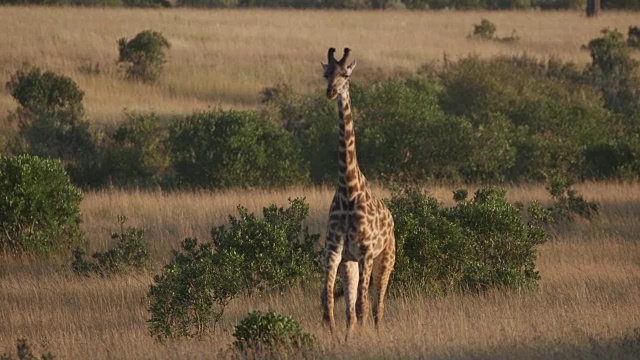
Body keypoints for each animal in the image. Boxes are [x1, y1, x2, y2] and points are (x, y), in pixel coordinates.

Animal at [320, 48, 396, 340]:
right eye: (326, 73)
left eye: (346, 74)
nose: (331, 92)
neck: (348, 188)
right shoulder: (335, 251)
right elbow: (328, 299)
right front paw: (333, 335)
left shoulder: (366, 252)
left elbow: (364, 304)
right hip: (350, 263)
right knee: (351, 309)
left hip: (387, 258)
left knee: (377, 305)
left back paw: (376, 332)